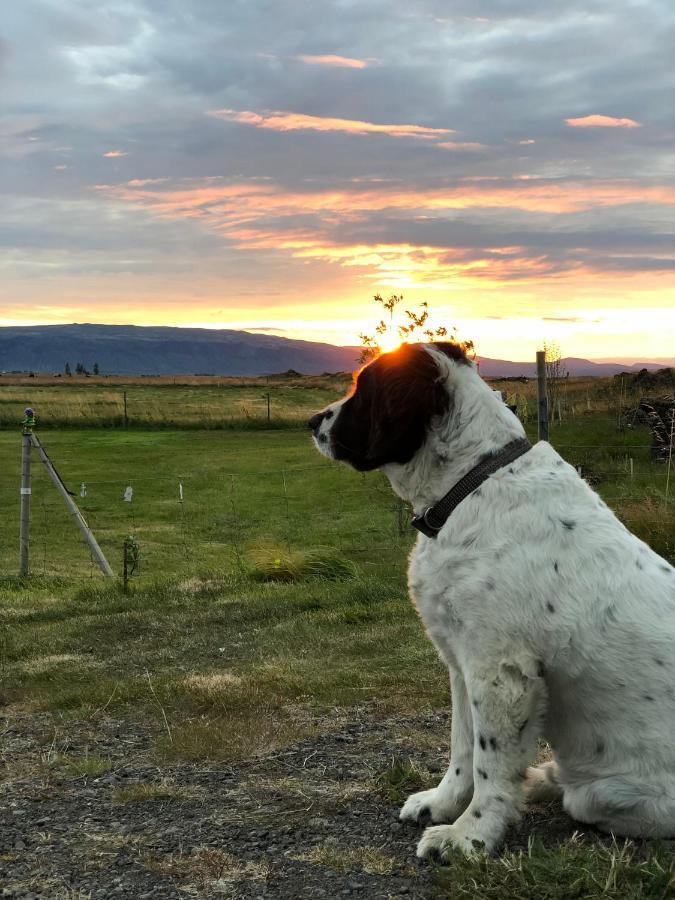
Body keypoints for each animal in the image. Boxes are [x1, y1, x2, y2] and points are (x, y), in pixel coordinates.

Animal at [310, 342, 675, 856]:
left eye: (364, 390)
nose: (313, 421)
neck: (469, 484)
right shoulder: (462, 664)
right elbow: (462, 746)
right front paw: (442, 804)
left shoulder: (501, 672)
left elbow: (490, 763)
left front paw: (470, 836)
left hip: (606, 794)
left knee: (582, 797)